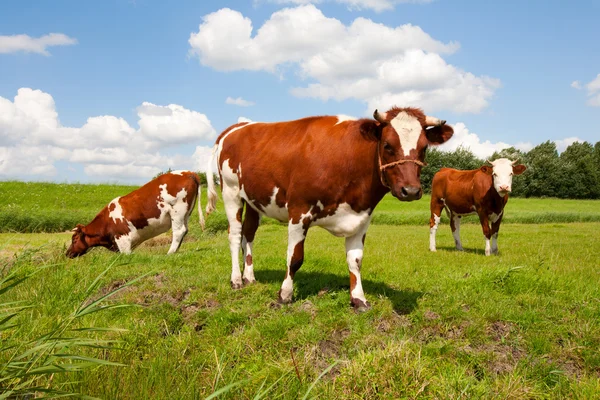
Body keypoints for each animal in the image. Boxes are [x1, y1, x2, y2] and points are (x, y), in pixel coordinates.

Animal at [64, 170, 203, 258]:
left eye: (74, 239)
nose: (67, 253)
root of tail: (189, 172)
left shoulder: (123, 239)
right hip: (186, 214)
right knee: (184, 230)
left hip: (177, 211)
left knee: (178, 231)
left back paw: (170, 252)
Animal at [206, 108, 454, 310]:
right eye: (387, 145)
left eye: (424, 148)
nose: (410, 191)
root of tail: (235, 127)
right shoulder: (299, 211)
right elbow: (294, 258)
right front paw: (284, 296)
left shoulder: (361, 218)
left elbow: (355, 260)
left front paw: (359, 299)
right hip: (231, 192)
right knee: (235, 234)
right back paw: (236, 280)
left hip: (252, 199)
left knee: (249, 234)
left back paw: (249, 277)